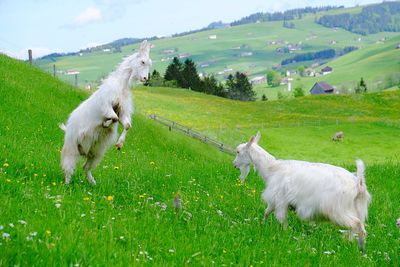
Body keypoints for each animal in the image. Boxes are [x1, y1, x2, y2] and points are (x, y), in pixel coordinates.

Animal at [60, 40, 152, 185]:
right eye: (142, 62)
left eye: (149, 63)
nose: (145, 78)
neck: (121, 85)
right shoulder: (107, 105)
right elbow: (113, 118)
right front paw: (105, 124)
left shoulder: (122, 111)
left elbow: (126, 125)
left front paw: (119, 144)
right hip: (72, 147)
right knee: (68, 166)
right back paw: (67, 184)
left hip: (96, 153)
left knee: (85, 168)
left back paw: (93, 183)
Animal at [234, 133, 372, 254]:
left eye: (238, 151)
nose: (234, 164)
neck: (272, 169)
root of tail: (358, 184)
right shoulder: (275, 200)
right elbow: (267, 212)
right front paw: (262, 225)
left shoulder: (280, 200)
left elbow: (281, 218)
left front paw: (285, 234)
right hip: (357, 209)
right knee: (361, 228)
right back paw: (360, 250)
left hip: (338, 210)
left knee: (355, 225)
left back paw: (350, 243)